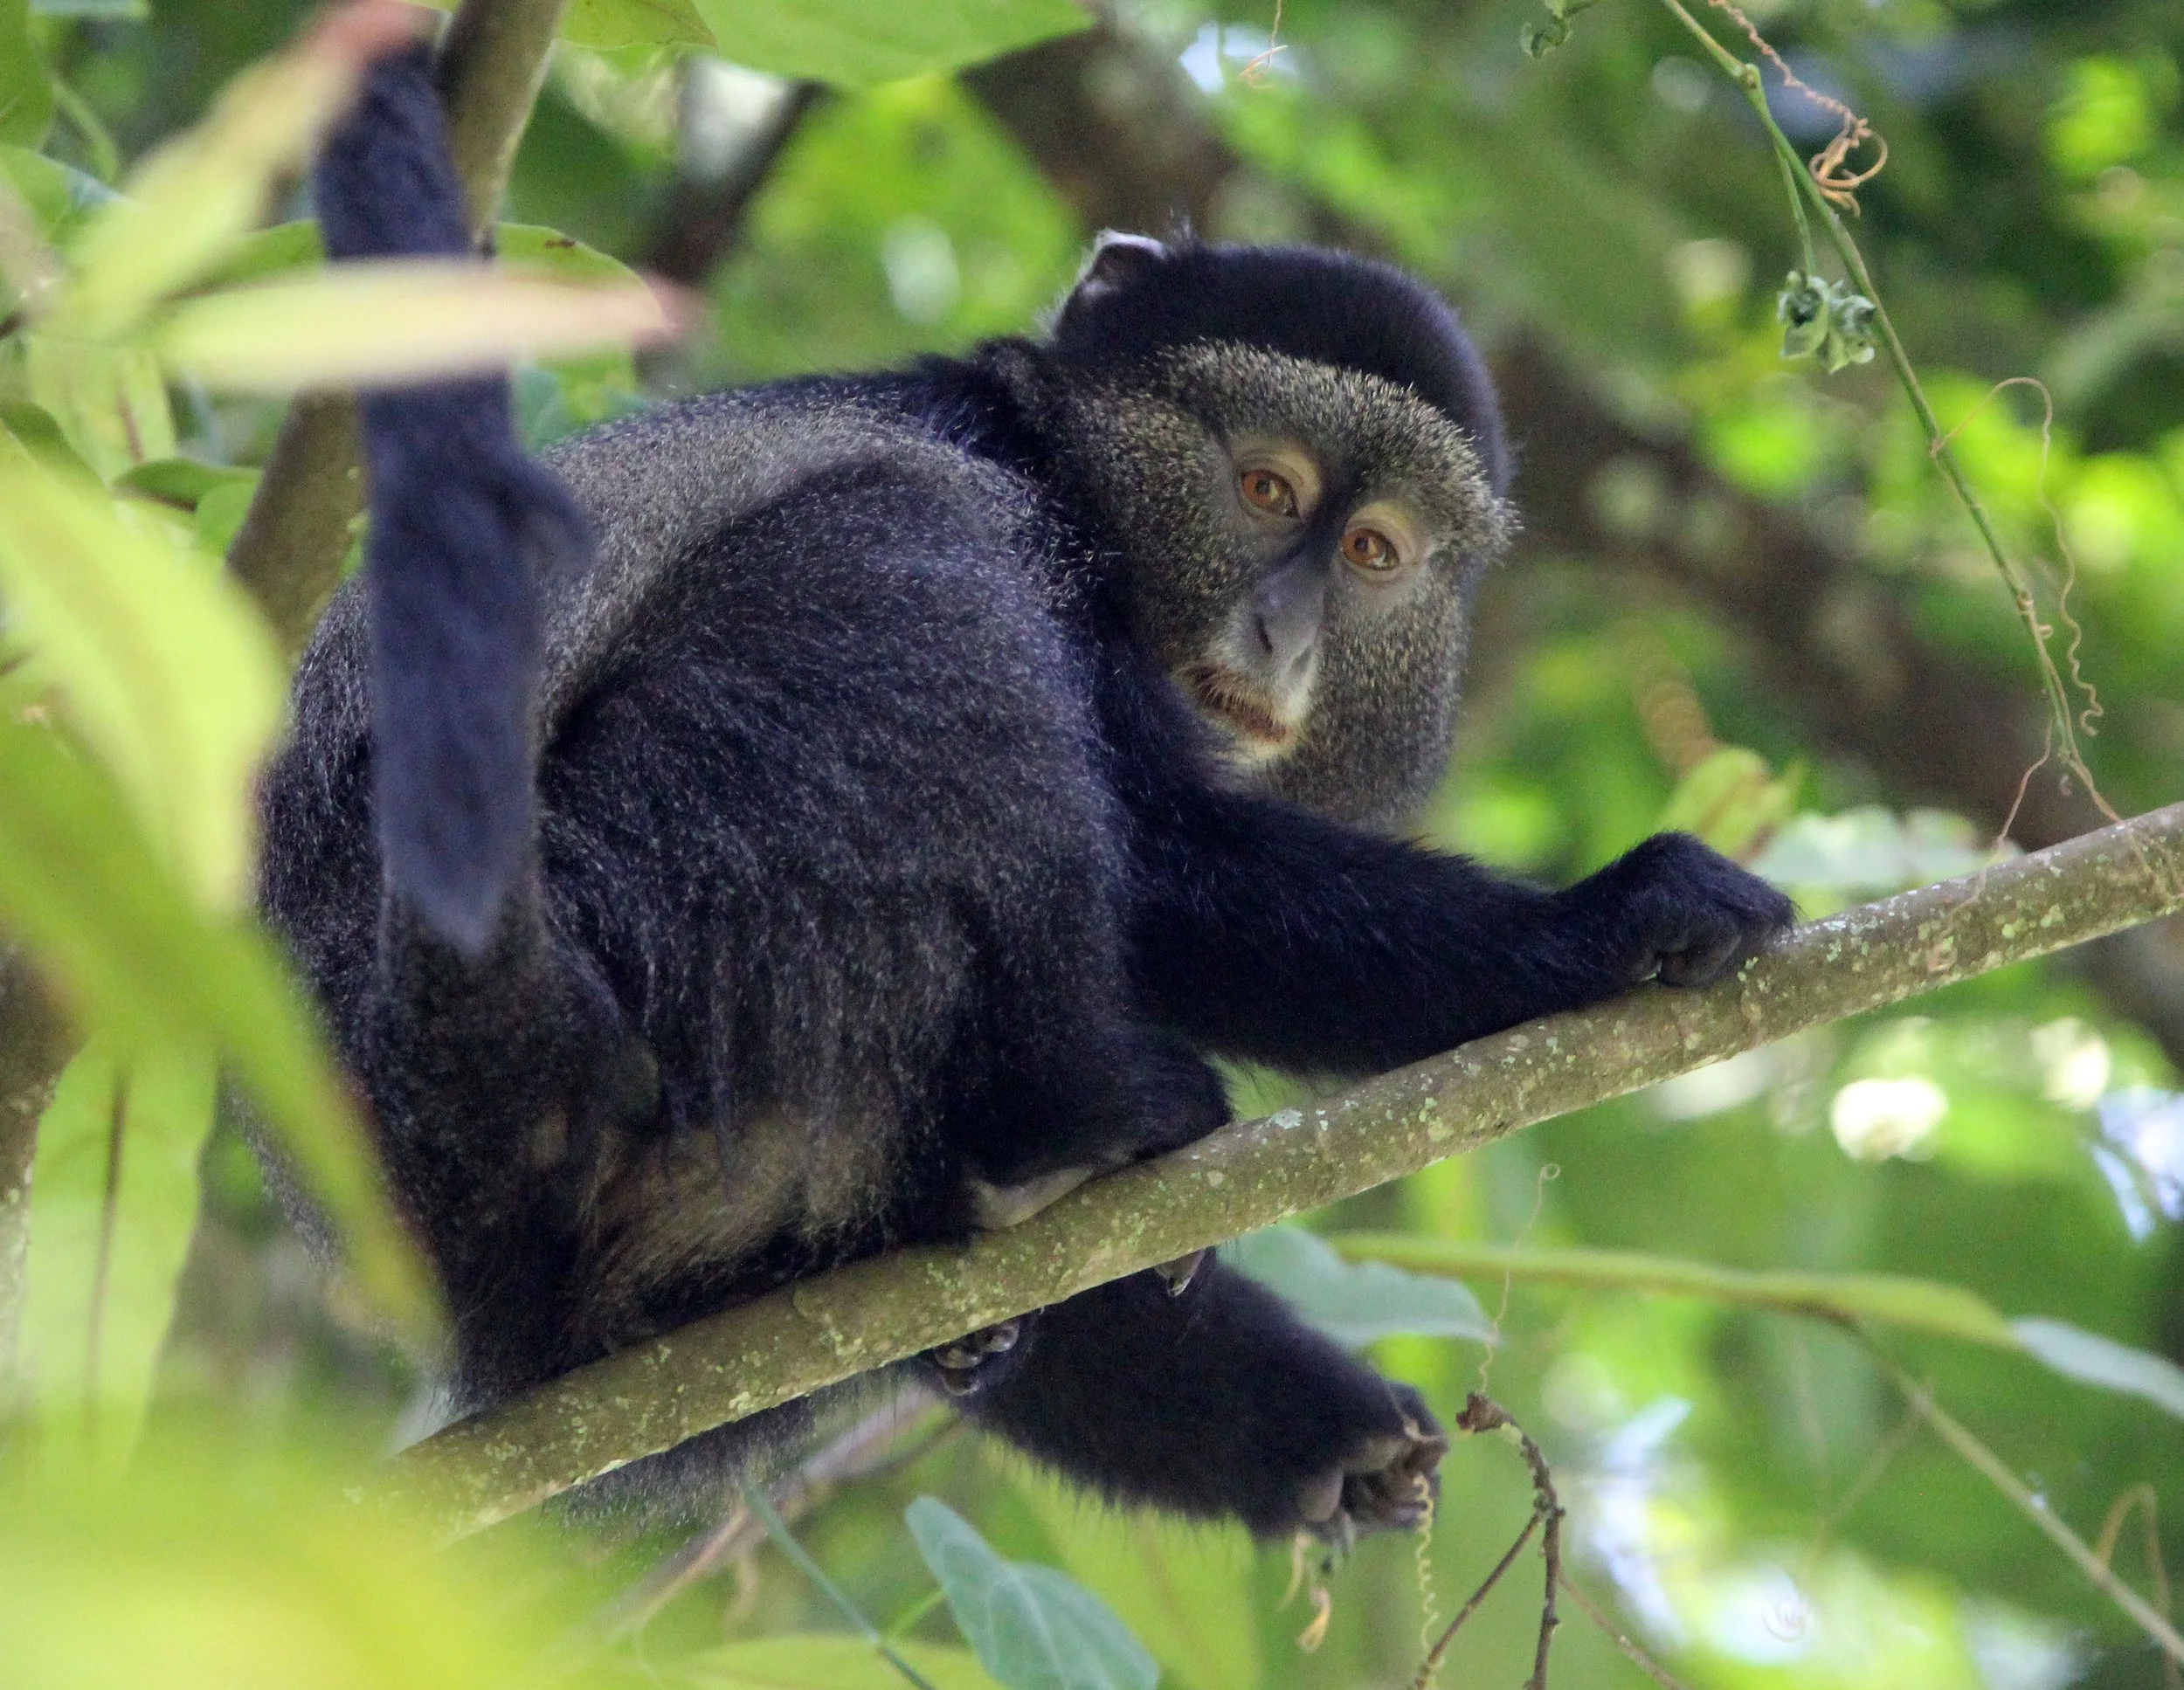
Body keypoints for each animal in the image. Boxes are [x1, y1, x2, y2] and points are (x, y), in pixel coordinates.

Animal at [255, 45, 1793, 1545]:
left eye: (1373, 551)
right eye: (1264, 487)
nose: (1283, 634)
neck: (1075, 476)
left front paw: (1316, 1430)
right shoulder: (1011, 495)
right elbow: (1162, 862)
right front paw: (1610, 916)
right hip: (660, 892)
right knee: (900, 538)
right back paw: (1059, 1128)